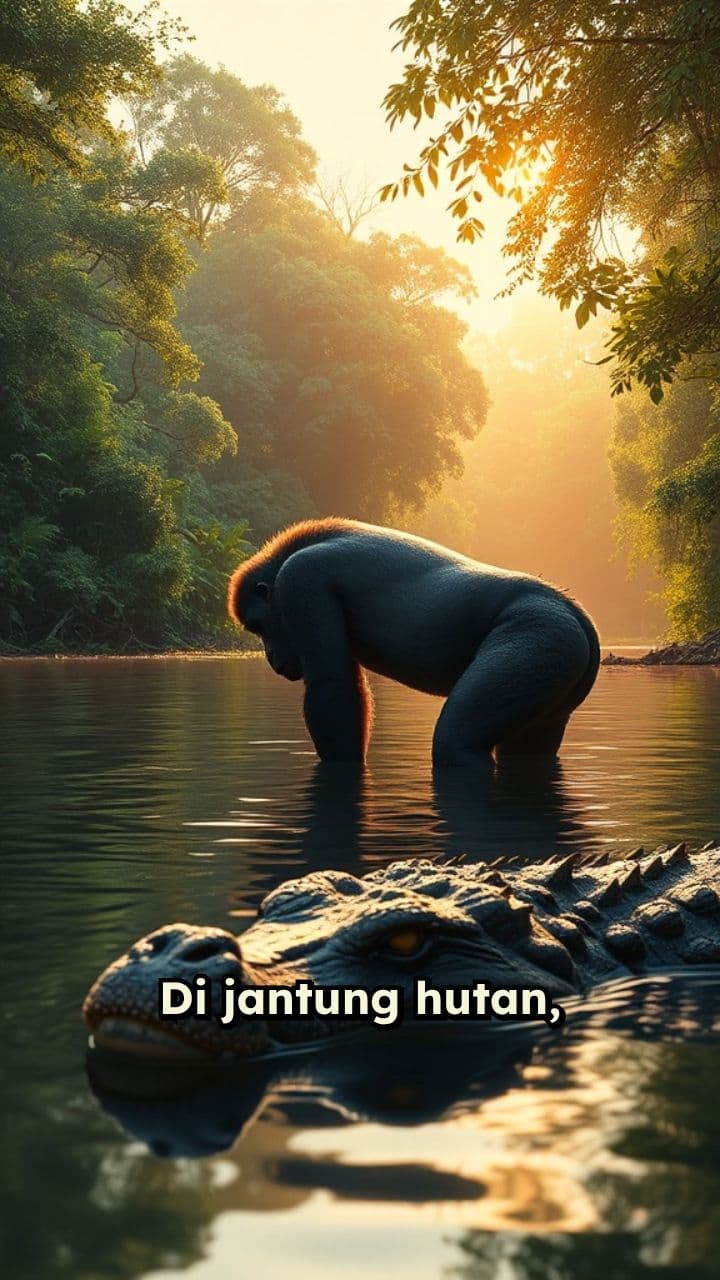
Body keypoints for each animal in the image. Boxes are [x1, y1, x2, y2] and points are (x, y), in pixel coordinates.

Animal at [228, 518, 600, 768]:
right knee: (528, 749)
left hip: (542, 633)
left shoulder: (300, 579)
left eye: (259, 627)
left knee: (455, 740)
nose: (270, 656)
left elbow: (332, 686)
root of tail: (572, 610)